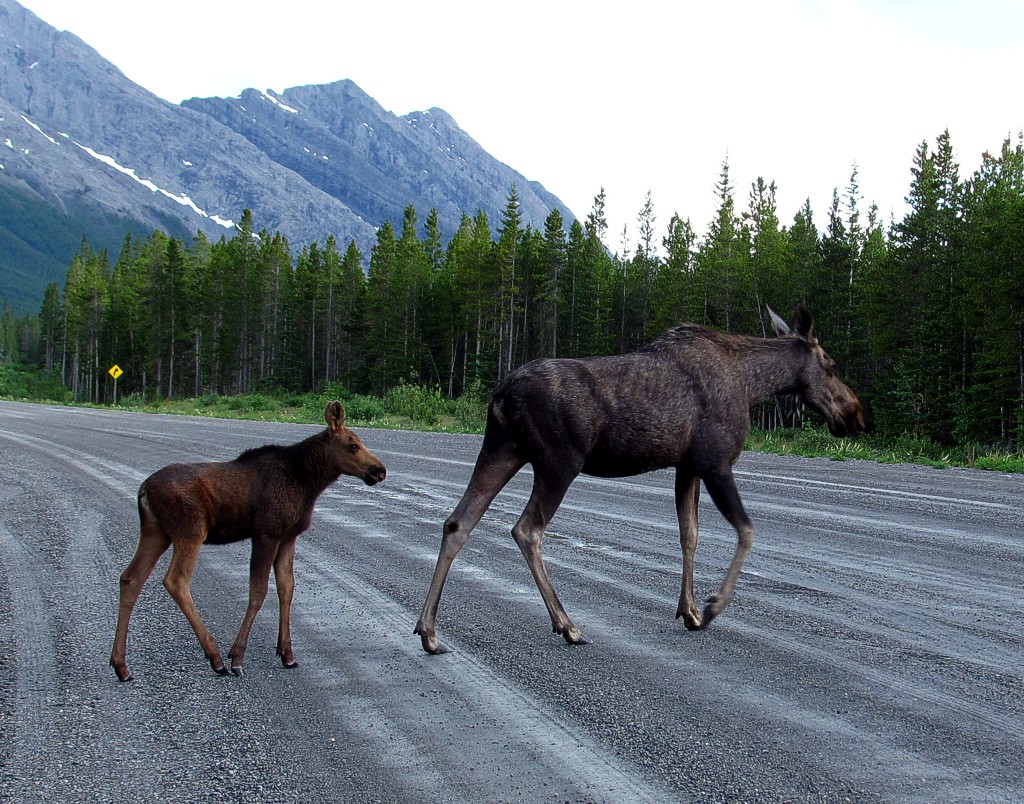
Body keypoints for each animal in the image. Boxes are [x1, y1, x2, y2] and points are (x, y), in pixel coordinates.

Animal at [110, 399, 385, 675]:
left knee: (131, 578)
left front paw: (287, 654)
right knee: (176, 580)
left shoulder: (288, 537)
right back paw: (215, 657)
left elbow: (287, 588)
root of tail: (143, 490)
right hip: (190, 531)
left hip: (156, 532)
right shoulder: (266, 533)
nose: (380, 471)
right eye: (353, 445)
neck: (308, 483)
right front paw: (237, 657)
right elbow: (258, 591)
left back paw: (120, 665)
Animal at [411, 305, 860, 651]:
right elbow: (747, 530)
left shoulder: (687, 466)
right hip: (558, 461)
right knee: (527, 529)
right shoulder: (716, 461)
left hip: (502, 449)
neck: (753, 384)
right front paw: (713, 605)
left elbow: (689, 534)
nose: (855, 414)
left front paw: (689, 610)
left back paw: (428, 631)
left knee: (458, 522)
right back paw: (567, 625)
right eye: (831, 364)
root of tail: (500, 395)